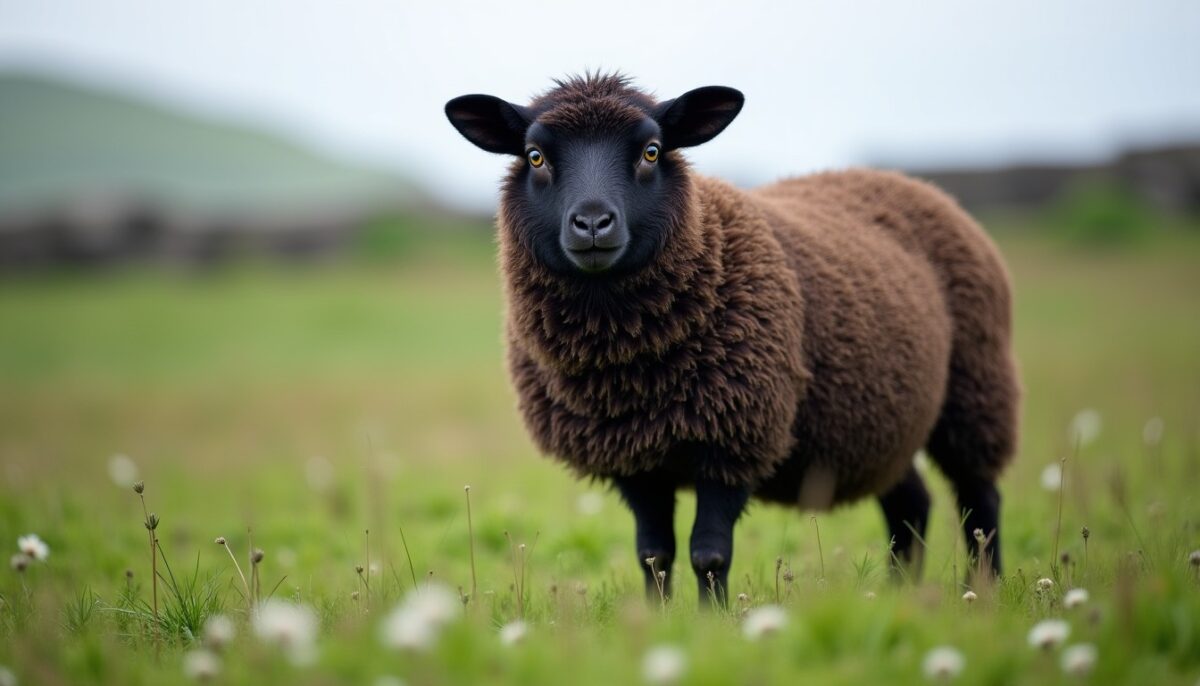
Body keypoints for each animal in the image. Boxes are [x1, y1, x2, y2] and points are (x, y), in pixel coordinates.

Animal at [444, 74, 1019, 606]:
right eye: (535, 156)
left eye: (652, 150)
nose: (591, 223)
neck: (630, 372)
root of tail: (910, 182)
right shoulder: (632, 457)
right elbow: (653, 554)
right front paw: (656, 622)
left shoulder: (736, 437)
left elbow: (709, 554)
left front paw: (711, 624)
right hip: (879, 419)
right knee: (910, 504)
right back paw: (901, 593)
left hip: (975, 388)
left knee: (980, 502)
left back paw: (983, 593)